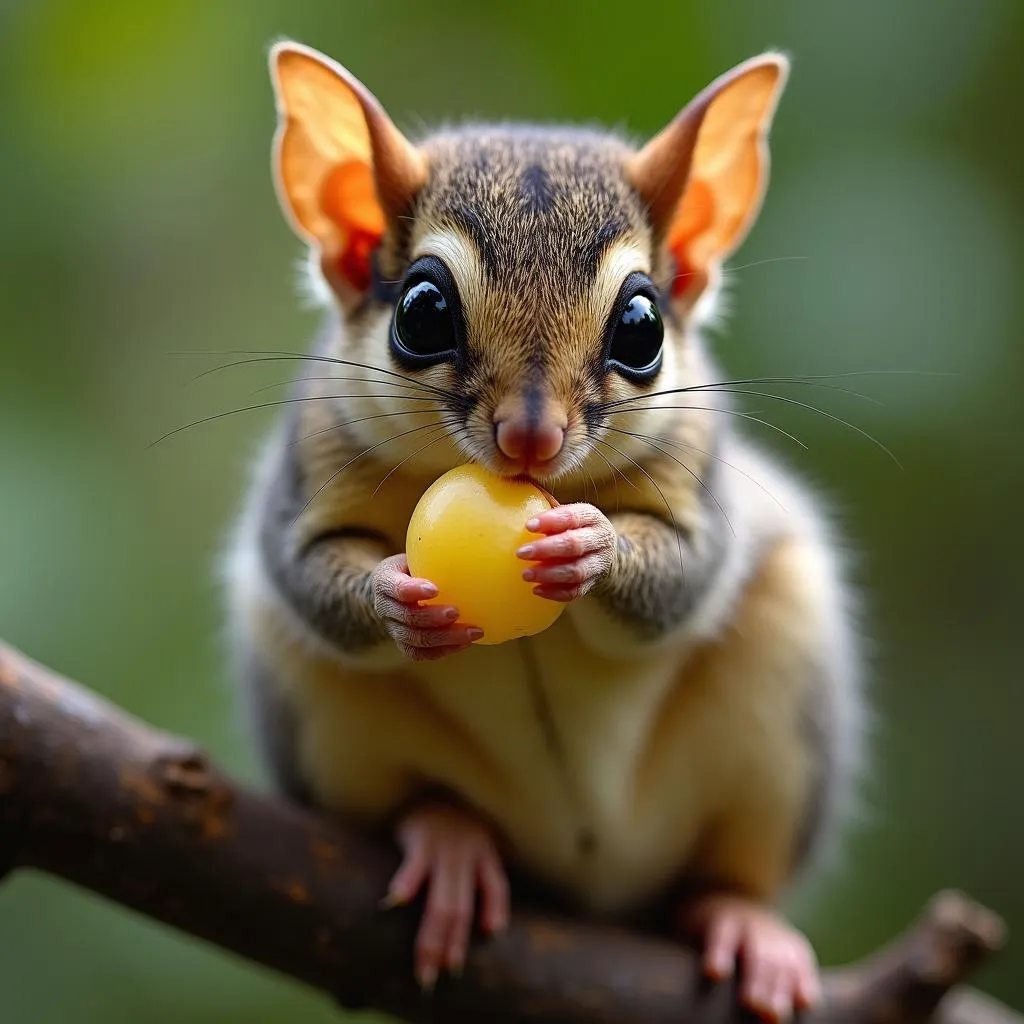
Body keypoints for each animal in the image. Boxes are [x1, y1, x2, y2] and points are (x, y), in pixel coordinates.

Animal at [222, 37, 864, 1015]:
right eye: (421, 312)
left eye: (642, 325)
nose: (532, 437)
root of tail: (582, 877)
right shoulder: (308, 469)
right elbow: (303, 568)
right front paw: (392, 594)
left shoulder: (699, 478)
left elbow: (686, 575)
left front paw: (589, 547)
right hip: (320, 730)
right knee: (409, 801)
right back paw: (448, 842)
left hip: (782, 726)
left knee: (728, 874)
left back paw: (745, 926)